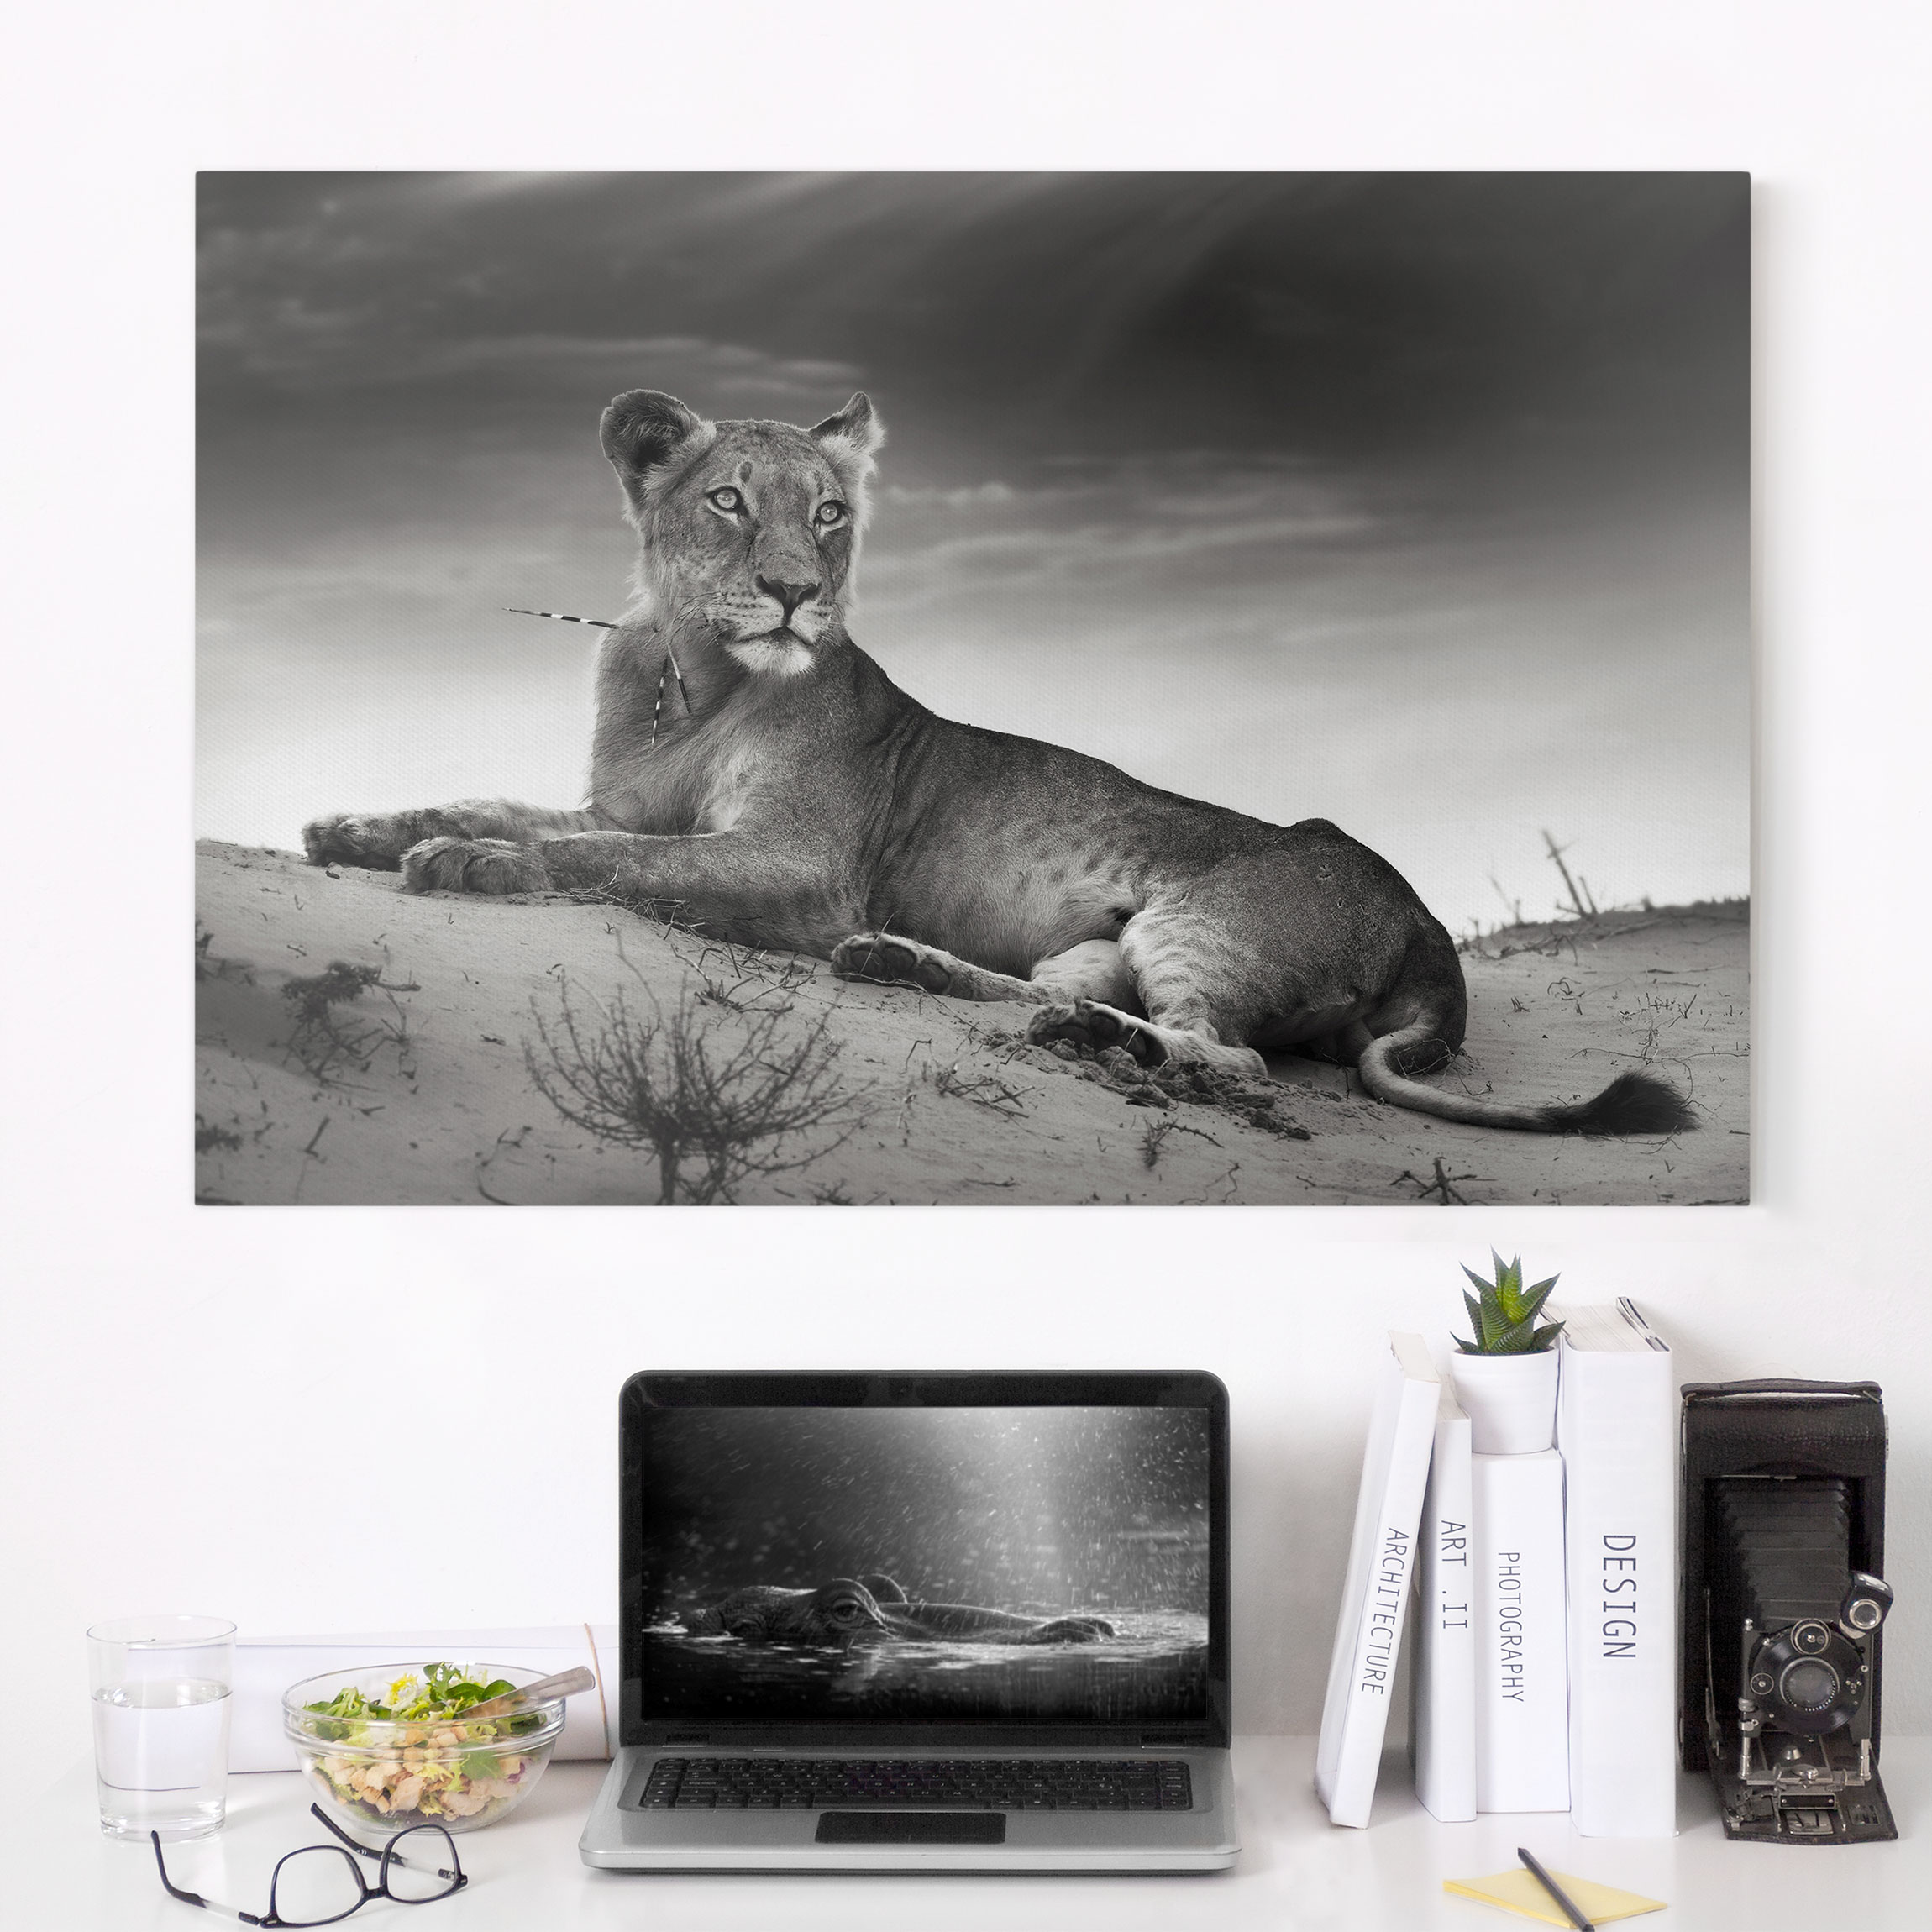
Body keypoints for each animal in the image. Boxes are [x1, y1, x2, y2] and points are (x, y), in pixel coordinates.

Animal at [303, 387, 1691, 1135]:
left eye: (829, 513)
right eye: (727, 501)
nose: (798, 594)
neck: (689, 676)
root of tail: (1432, 934)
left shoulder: (799, 866)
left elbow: (602, 857)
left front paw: (472, 863)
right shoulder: (633, 800)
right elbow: (522, 806)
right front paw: (357, 830)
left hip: (1198, 921)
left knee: (1224, 1055)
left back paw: (1084, 1040)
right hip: (1100, 938)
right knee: (1053, 993)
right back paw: (914, 970)